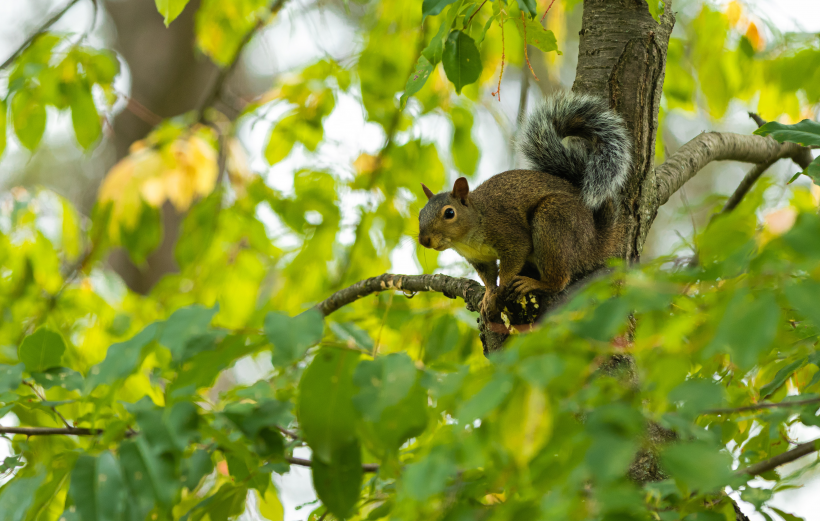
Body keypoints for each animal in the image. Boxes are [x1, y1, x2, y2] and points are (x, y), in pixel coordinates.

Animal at [416, 92, 636, 318]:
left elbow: (512, 261)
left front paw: (501, 290)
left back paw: (534, 283)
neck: (468, 235)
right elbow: (488, 278)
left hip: (552, 220)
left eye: (449, 213)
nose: (424, 240)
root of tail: (596, 239)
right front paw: (489, 296)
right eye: (420, 214)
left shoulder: (509, 235)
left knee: (559, 280)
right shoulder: (480, 260)